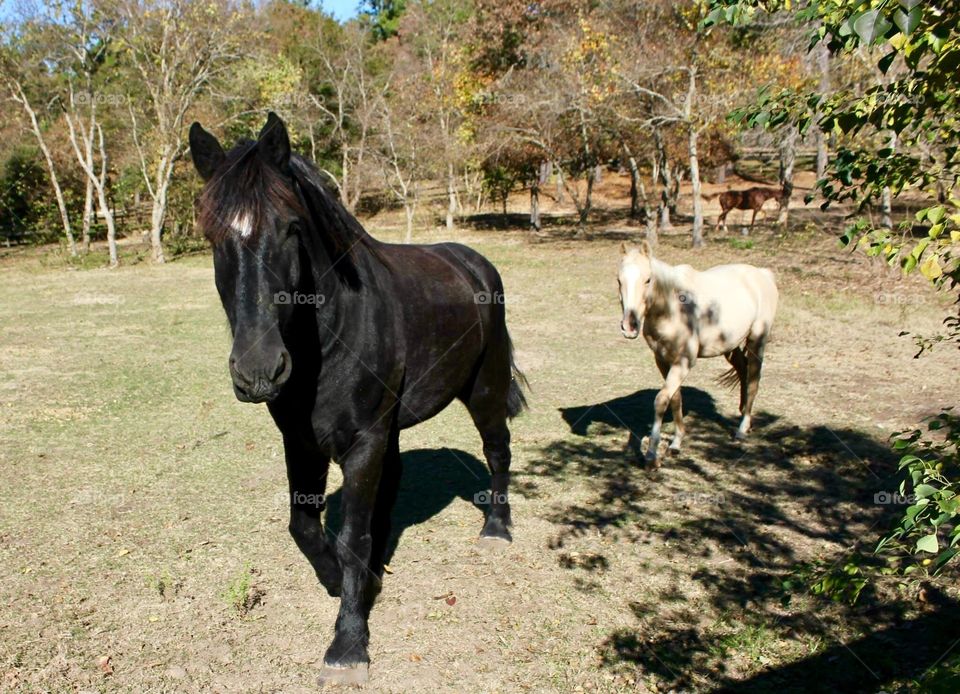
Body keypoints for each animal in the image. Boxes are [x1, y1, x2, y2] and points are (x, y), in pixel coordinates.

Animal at [190, 113, 528, 684]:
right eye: (212, 235)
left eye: (291, 227)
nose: (258, 371)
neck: (331, 336)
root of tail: (472, 261)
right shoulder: (302, 442)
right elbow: (305, 527)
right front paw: (348, 583)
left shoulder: (363, 441)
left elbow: (352, 539)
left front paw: (348, 645)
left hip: (483, 389)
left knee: (497, 452)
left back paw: (497, 530)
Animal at [620, 243, 776, 468]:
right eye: (619, 280)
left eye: (648, 279)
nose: (629, 326)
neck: (673, 309)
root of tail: (763, 275)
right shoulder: (663, 360)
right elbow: (675, 398)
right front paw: (676, 443)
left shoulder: (683, 362)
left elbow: (661, 400)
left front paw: (651, 455)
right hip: (730, 346)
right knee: (743, 370)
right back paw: (743, 415)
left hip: (757, 340)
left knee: (754, 379)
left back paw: (742, 429)